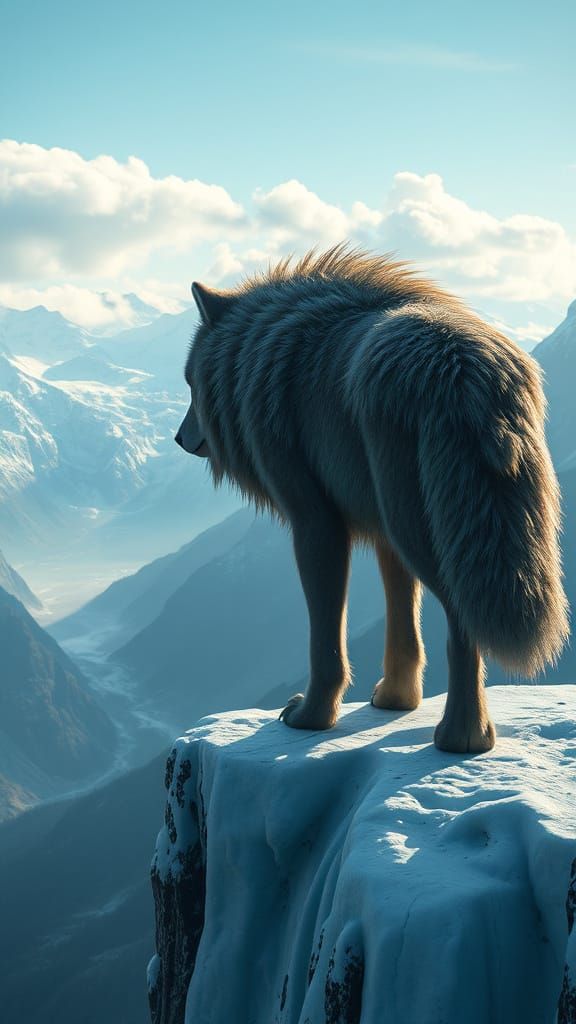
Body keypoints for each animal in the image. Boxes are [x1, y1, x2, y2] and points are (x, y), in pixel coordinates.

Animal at [176, 245, 569, 753]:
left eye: (189, 383)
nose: (178, 437)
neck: (263, 355)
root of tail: (463, 371)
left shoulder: (315, 523)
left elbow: (326, 640)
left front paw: (311, 717)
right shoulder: (383, 533)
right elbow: (403, 629)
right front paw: (396, 700)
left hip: (423, 531)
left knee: (461, 622)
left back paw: (462, 737)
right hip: (428, 524)